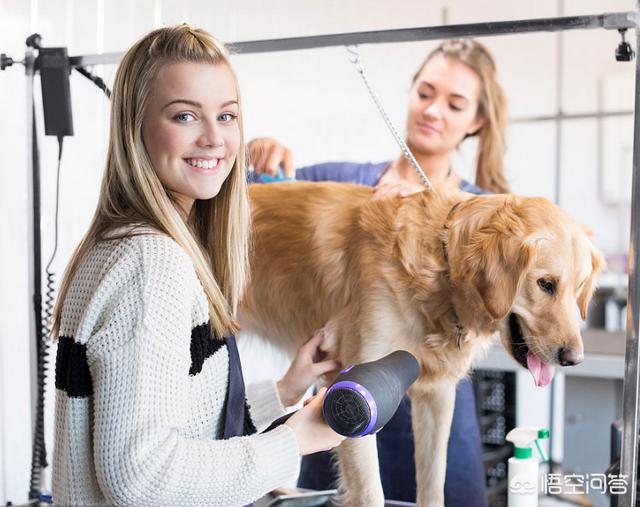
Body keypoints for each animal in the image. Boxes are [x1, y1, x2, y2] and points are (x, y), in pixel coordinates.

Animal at [240, 181, 604, 506]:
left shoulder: (436, 395)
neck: (441, 268)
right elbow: (371, 493)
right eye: (545, 284)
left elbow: (433, 484)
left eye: (580, 287)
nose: (574, 358)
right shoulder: (355, 382)